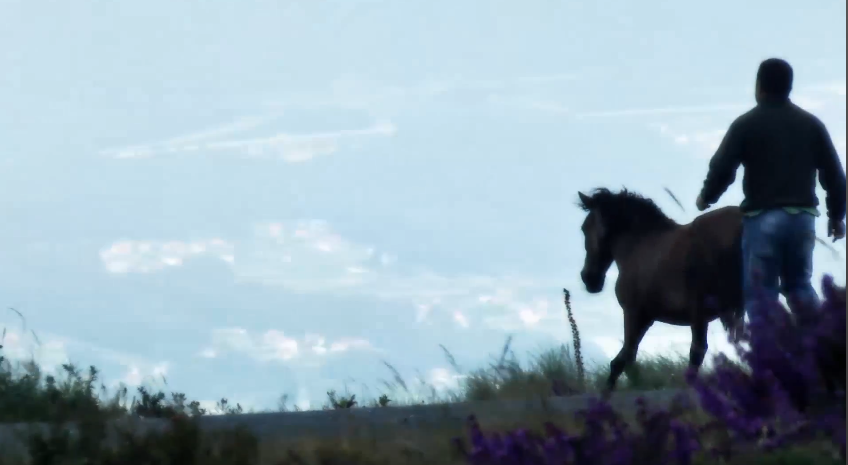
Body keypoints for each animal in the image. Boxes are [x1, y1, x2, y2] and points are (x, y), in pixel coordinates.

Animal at [576, 187, 744, 394]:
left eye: (585, 228)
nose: (589, 279)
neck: (639, 246)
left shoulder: (634, 314)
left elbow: (622, 360)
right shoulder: (648, 319)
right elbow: (625, 360)